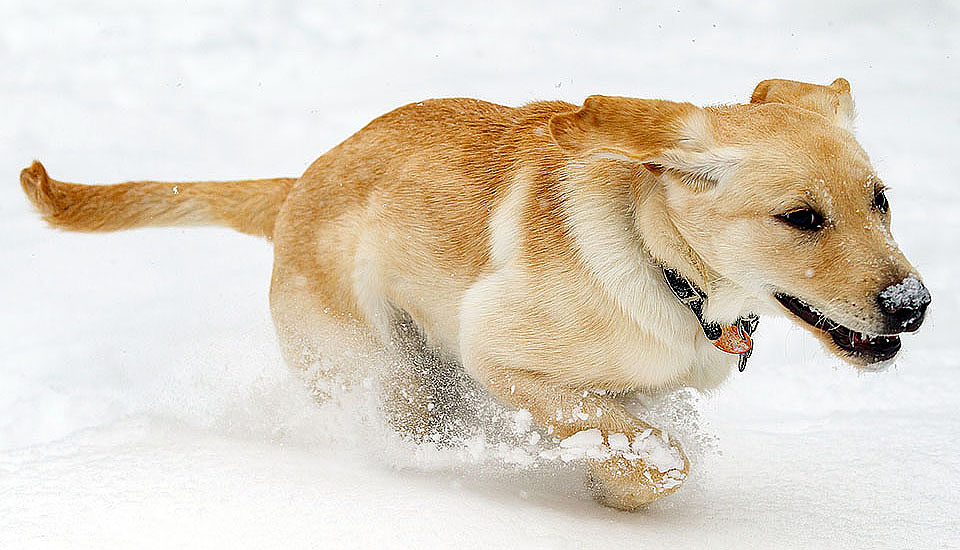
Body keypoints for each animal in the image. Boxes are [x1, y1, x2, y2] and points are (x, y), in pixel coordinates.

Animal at [16, 78, 928, 512]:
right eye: (801, 218)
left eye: (880, 200)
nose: (913, 306)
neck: (664, 267)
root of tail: (298, 185)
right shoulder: (503, 356)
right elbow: (656, 449)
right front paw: (617, 485)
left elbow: (653, 431)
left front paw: (610, 484)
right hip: (386, 370)